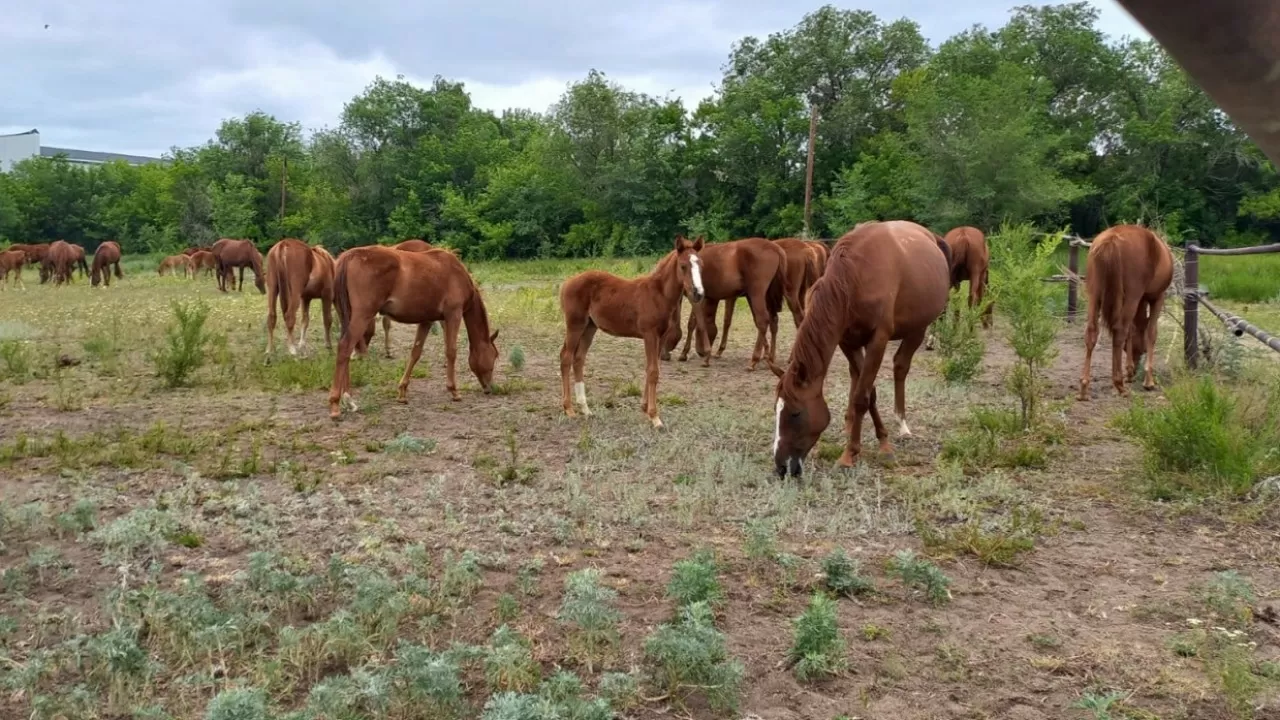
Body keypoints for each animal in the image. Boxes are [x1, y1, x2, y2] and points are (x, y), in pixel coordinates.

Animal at [327, 244, 496, 417]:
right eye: (495, 356)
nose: (490, 388)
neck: (457, 273)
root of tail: (351, 255)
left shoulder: (426, 321)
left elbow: (416, 353)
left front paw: (402, 392)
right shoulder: (453, 315)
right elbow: (451, 351)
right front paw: (453, 390)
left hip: (345, 315)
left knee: (346, 351)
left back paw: (348, 399)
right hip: (362, 315)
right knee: (345, 347)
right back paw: (335, 403)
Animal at [558, 234, 706, 425]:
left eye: (700, 264)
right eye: (683, 266)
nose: (698, 293)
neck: (658, 294)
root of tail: (567, 282)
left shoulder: (661, 337)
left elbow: (653, 369)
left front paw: (645, 407)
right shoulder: (649, 334)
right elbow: (653, 371)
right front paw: (655, 417)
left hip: (590, 327)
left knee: (578, 359)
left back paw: (585, 409)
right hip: (575, 324)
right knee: (566, 358)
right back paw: (569, 409)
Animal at [675, 237, 793, 366]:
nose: (700, 352)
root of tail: (775, 247)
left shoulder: (696, 297)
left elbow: (692, 323)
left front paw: (684, 353)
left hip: (757, 294)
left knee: (763, 321)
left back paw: (754, 360)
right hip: (767, 296)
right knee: (773, 321)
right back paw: (771, 357)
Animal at [768, 221, 952, 474]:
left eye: (795, 414)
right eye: (775, 411)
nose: (781, 466)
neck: (854, 278)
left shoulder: (878, 341)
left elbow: (862, 397)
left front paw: (852, 454)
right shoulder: (846, 341)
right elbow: (867, 391)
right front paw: (877, 440)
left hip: (918, 328)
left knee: (900, 367)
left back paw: (902, 424)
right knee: (857, 375)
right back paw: (850, 422)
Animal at [1075, 222, 1172, 397]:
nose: (1136, 363)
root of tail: (1112, 240)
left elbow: (1131, 330)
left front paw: (1130, 369)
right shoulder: (1157, 298)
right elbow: (1151, 333)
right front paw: (1148, 380)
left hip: (1094, 294)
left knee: (1092, 332)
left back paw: (1084, 386)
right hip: (1132, 296)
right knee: (1119, 330)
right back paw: (1119, 384)